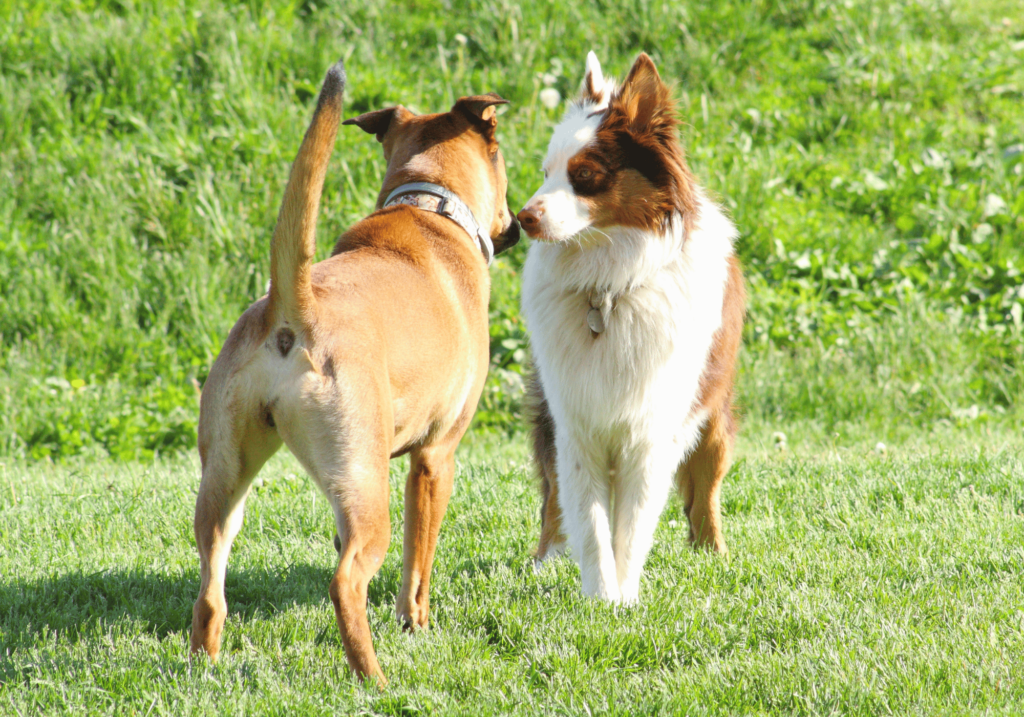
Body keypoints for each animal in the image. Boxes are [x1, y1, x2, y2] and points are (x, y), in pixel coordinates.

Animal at [192, 60, 524, 684]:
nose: (517, 226)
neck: (427, 206)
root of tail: (294, 310)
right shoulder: (434, 458)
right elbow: (419, 564)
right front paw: (416, 625)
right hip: (367, 488)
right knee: (346, 581)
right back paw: (374, 679)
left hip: (229, 476)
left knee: (210, 587)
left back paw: (205, 663)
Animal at [520, 53, 745, 606]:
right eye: (545, 173)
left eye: (584, 175)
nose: (521, 218)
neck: (608, 285)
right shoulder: (575, 422)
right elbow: (588, 520)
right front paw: (601, 598)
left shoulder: (649, 429)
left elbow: (632, 524)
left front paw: (622, 600)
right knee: (552, 499)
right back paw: (544, 559)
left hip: (712, 416)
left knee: (705, 492)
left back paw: (714, 554)